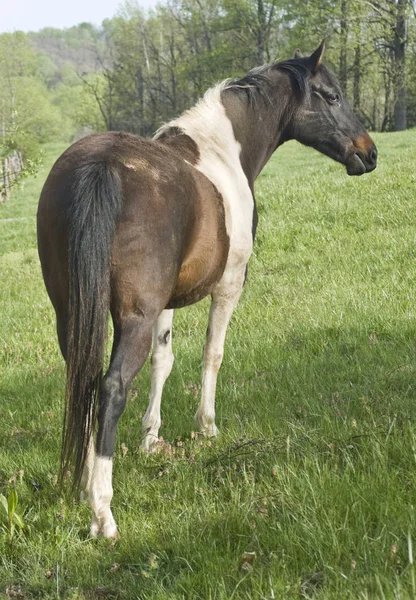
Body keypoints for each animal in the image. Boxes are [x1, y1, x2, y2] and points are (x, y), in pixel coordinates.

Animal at [37, 43, 378, 540]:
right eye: (331, 96)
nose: (368, 153)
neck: (221, 151)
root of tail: (100, 165)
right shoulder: (229, 286)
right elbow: (211, 354)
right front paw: (207, 427)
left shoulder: (165, 304)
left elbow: (163, 360)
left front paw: (151, 438)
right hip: (131, 319)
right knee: (112, 386)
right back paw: (102, 510)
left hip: (72, 314)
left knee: (82, 379)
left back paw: (83, 482)